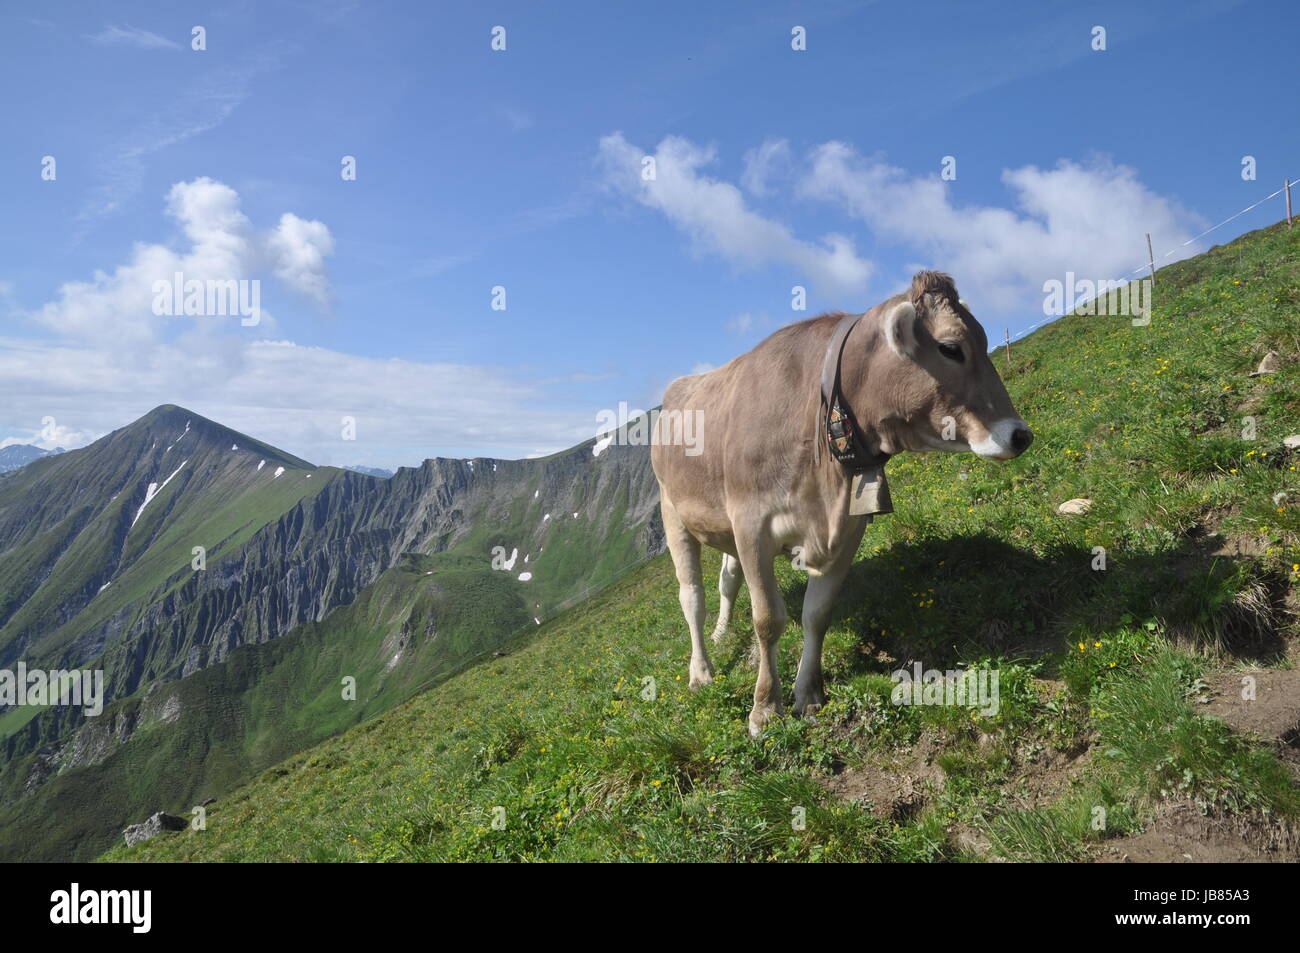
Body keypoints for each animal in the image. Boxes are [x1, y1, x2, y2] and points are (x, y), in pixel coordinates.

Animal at [650, 270, 1032, 737]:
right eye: (951, 348)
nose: (1020, 434)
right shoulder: (751, 524)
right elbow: (768, 619)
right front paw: (764, 709)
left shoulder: (849, 528)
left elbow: (817, 613)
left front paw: (808, 695)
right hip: (672, 512)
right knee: (692, 596)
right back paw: (701, 671)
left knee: (727, 580)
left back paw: (722, 634)